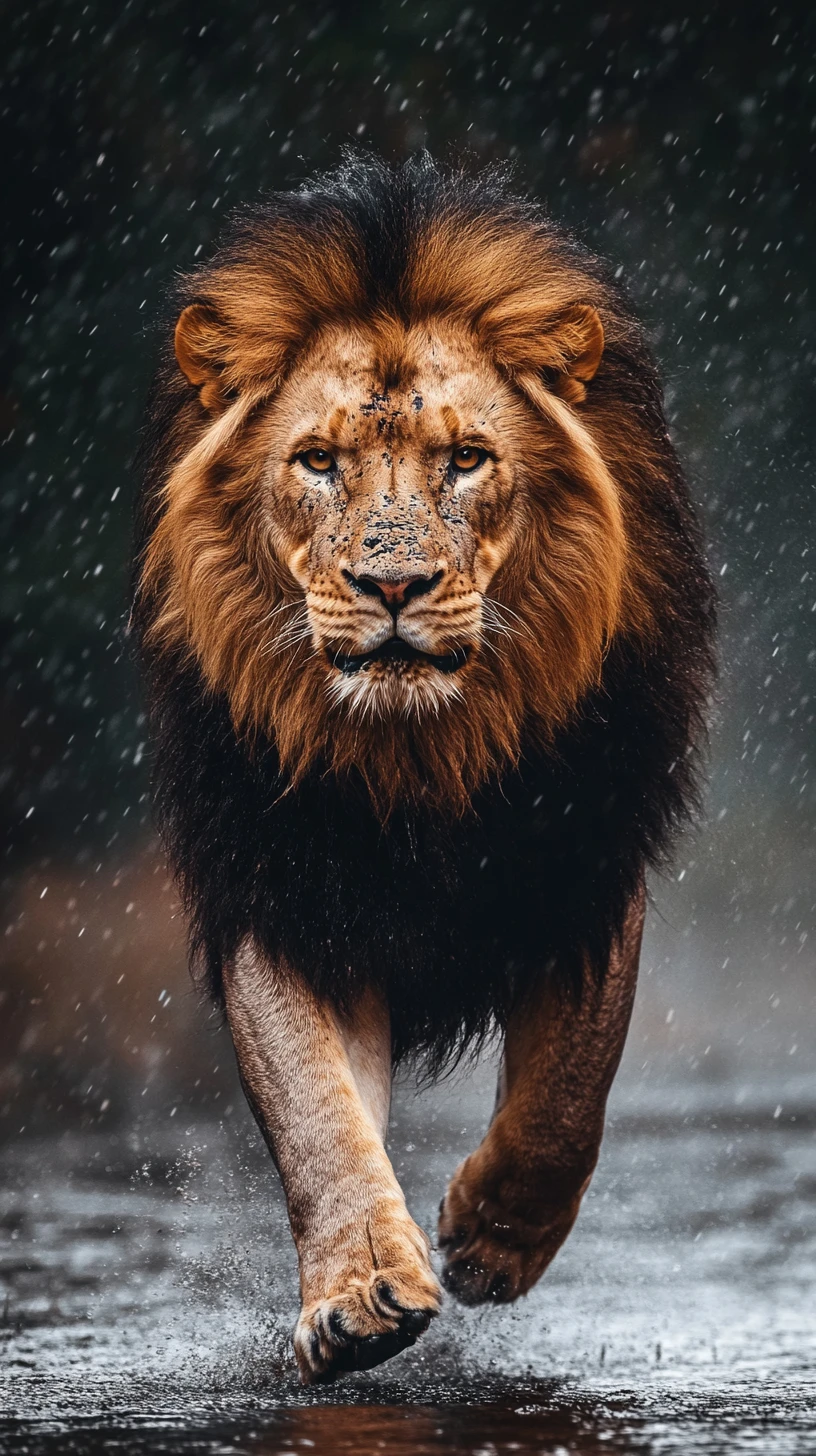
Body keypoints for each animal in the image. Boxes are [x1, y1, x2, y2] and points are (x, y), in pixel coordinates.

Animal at [132, 154, 715, 1383]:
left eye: (466, 459)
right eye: (316, 462)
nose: (391, 586)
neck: (416, 760)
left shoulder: (584, 859)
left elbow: (571, 1086)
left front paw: (494, 1237)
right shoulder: (281, 886)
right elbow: (316, 1110)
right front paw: (356, 1294)